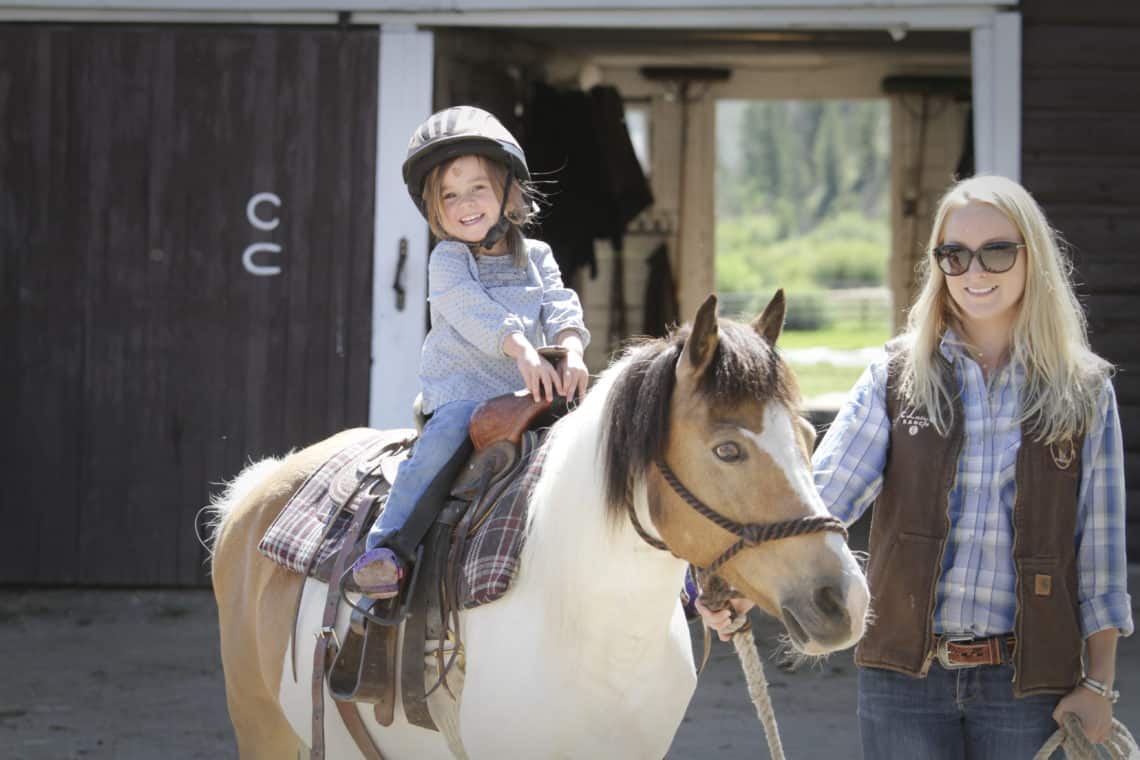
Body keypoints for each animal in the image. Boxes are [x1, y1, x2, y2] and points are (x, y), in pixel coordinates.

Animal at [209, 293, 866, 756]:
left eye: (809, 438)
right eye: (728, 449)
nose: (845, 601)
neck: (597, 633)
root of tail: (257, 490)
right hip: (260, 726)